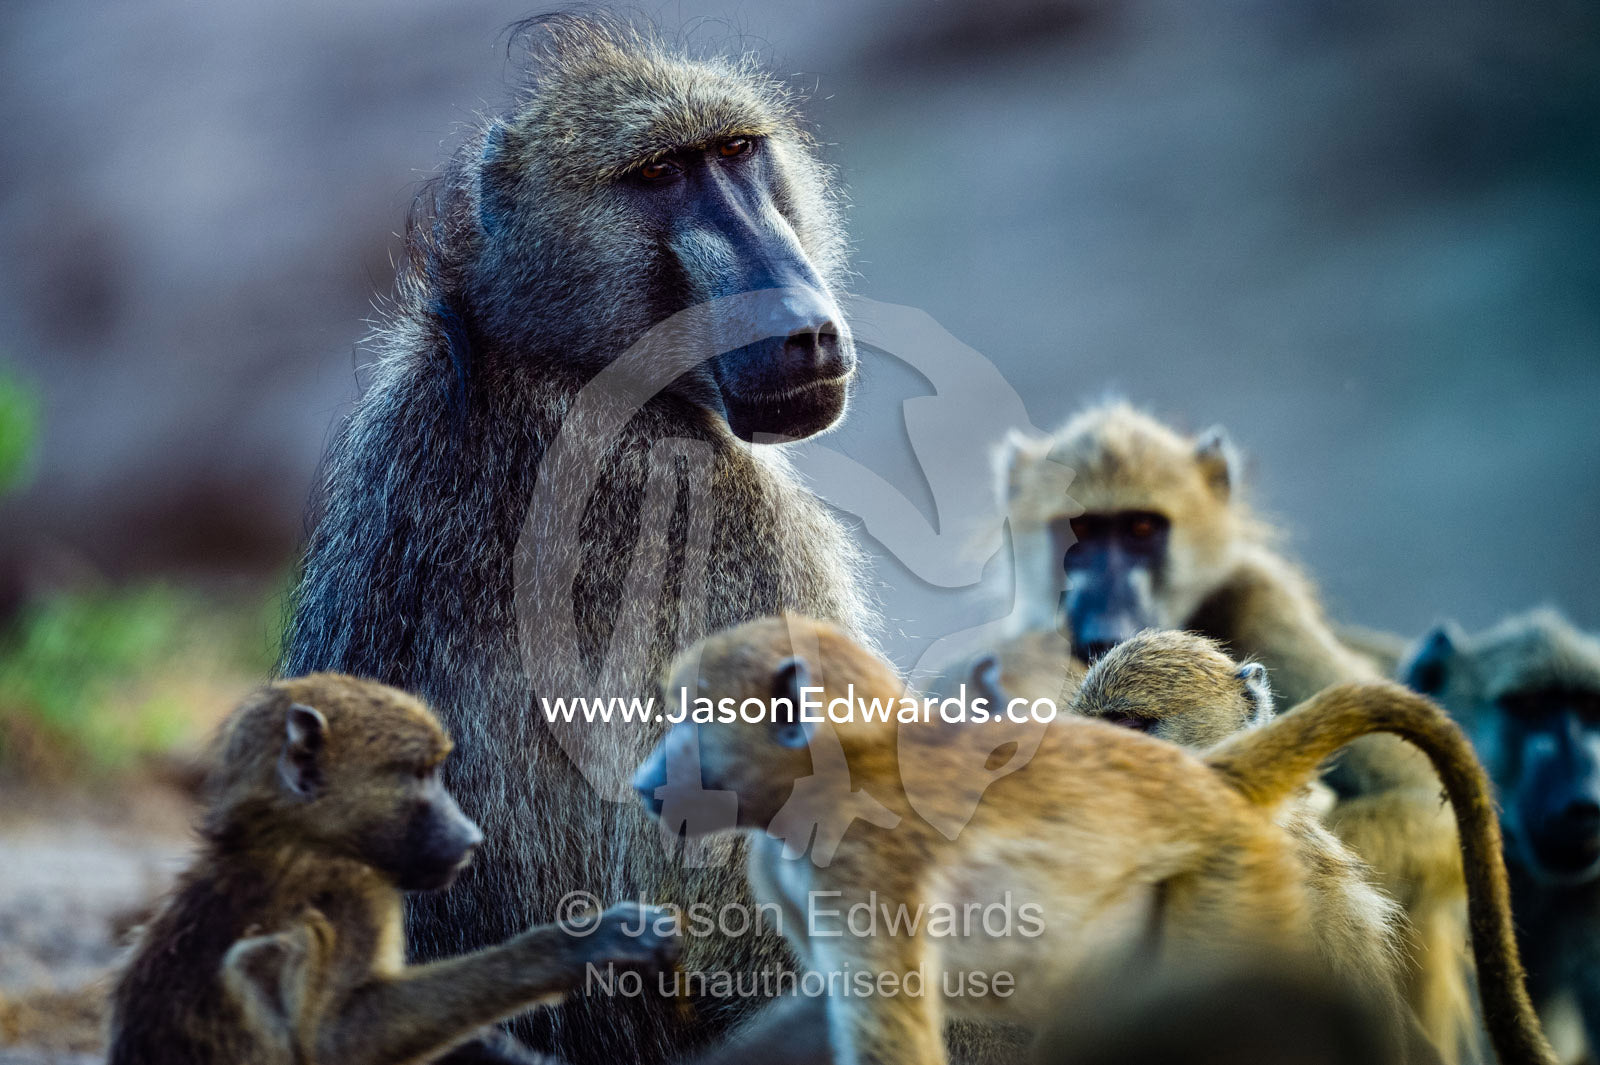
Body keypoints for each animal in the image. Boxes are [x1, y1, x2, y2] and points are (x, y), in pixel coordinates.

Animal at [107, 673, 679, 1065]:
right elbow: (341, 1040)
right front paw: (589, 944)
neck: (290, 835)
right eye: (421, 775)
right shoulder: (356, 889)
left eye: (437, 772)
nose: (472, 836)